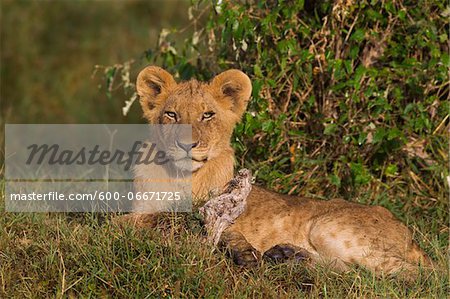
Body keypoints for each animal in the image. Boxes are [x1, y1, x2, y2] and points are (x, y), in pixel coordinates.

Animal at [134, 65, 432, 282]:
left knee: (416, 275)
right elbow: (157, 219)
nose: (187, 144)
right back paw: (287, 256)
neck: (183, 177)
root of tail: (405, 231)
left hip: (329, 229)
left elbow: (193, 224)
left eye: (207, 115)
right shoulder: (134, 215)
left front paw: (243, 251)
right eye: (171, 114)